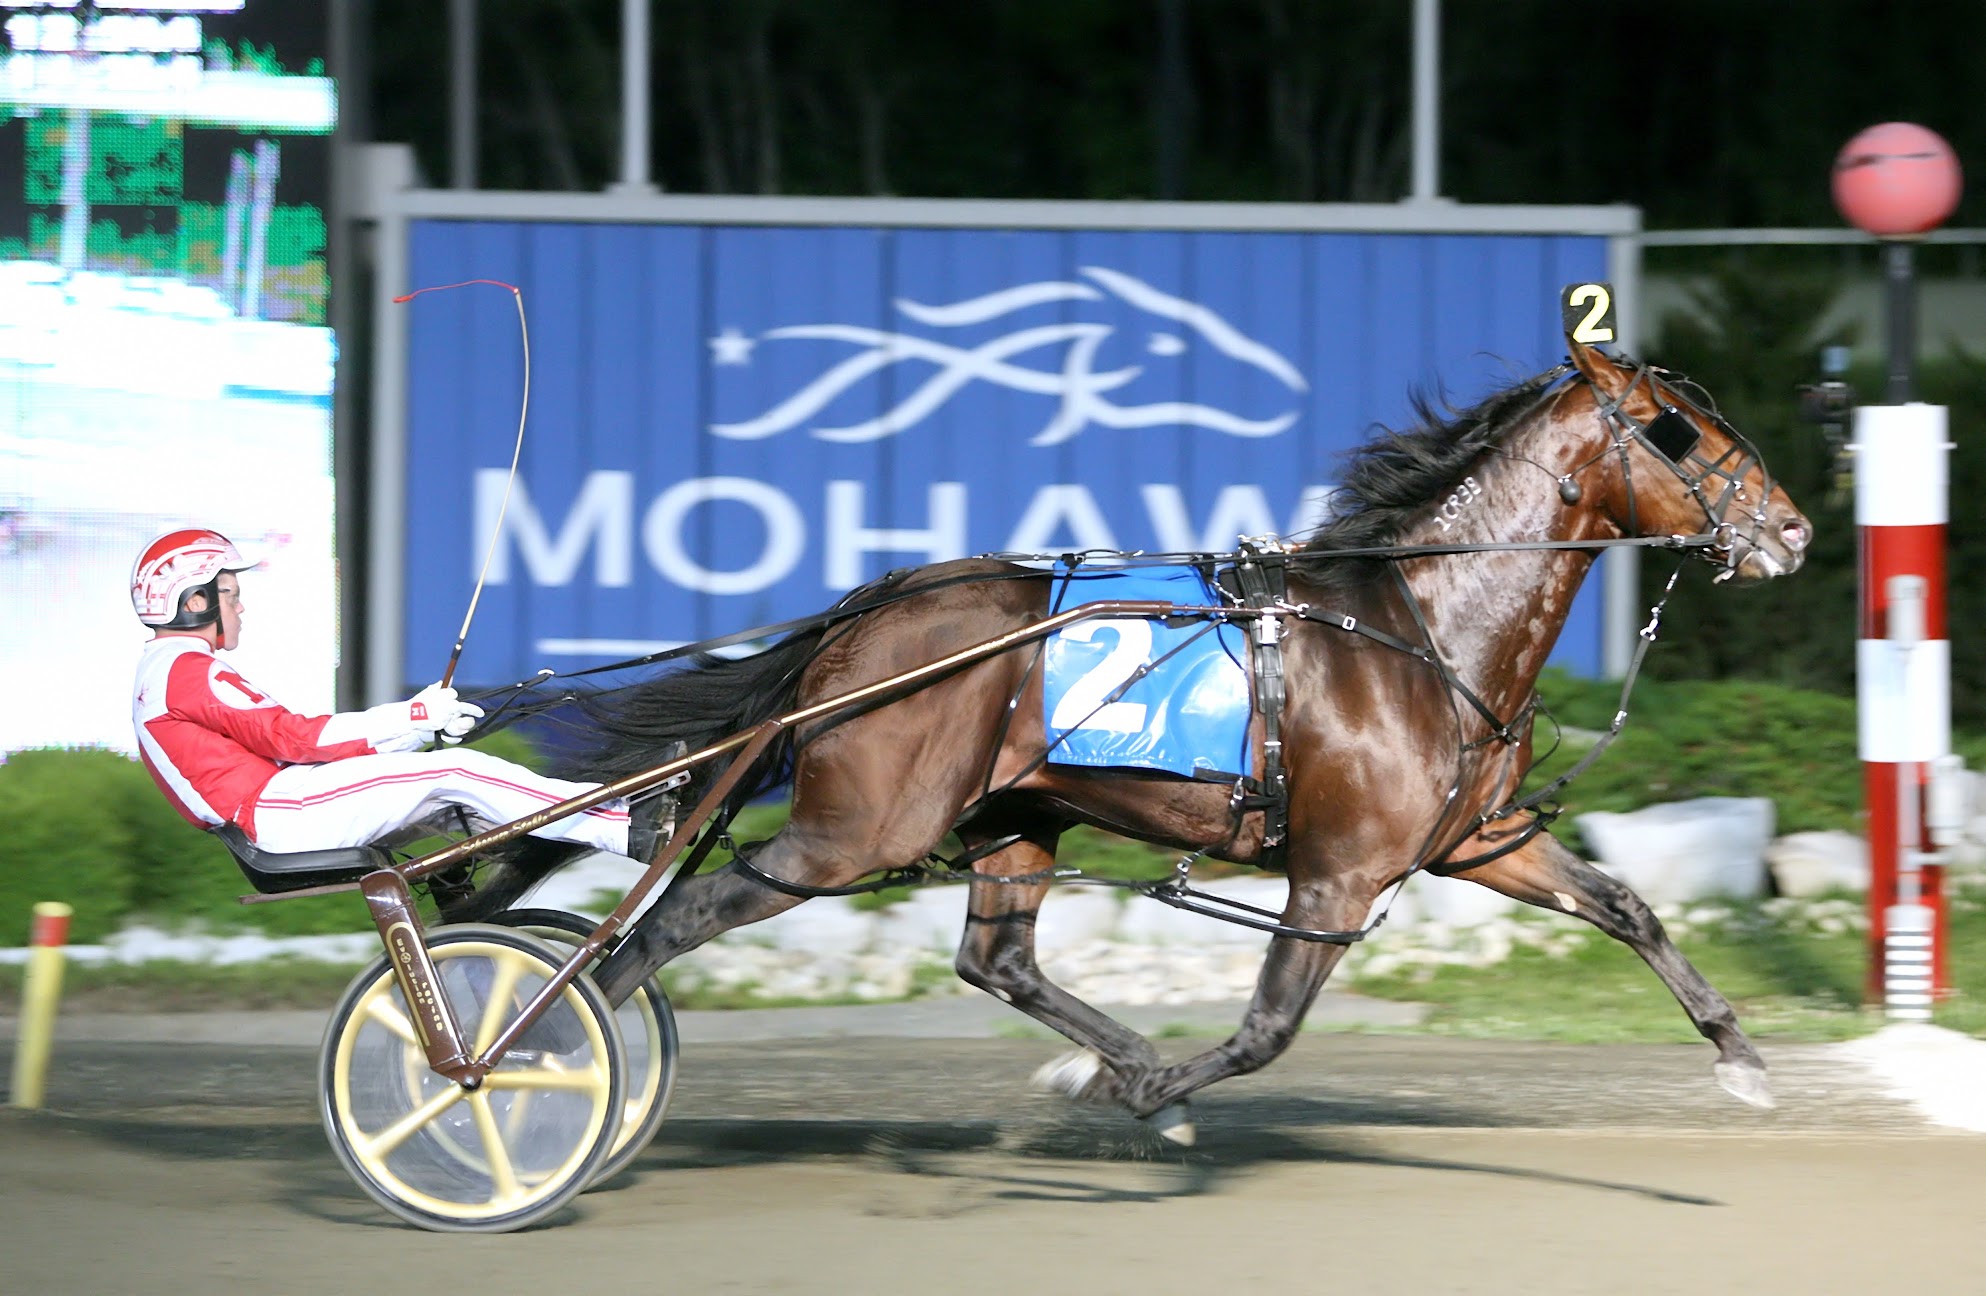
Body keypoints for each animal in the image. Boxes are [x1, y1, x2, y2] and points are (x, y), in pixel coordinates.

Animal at [504, 337, 1812, 1144]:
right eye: (1675, 430)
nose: (1794, 529)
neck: (1419, 627)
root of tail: (865, 613)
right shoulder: (1340, 871)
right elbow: (1267, 1030)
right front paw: (1147, 1096)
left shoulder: (1475, 839)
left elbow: (1628, 907)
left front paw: (1742, 1057)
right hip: (853, 831)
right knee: (671, 921)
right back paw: (545, 1069)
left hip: (1012, 814)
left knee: (997, 961)